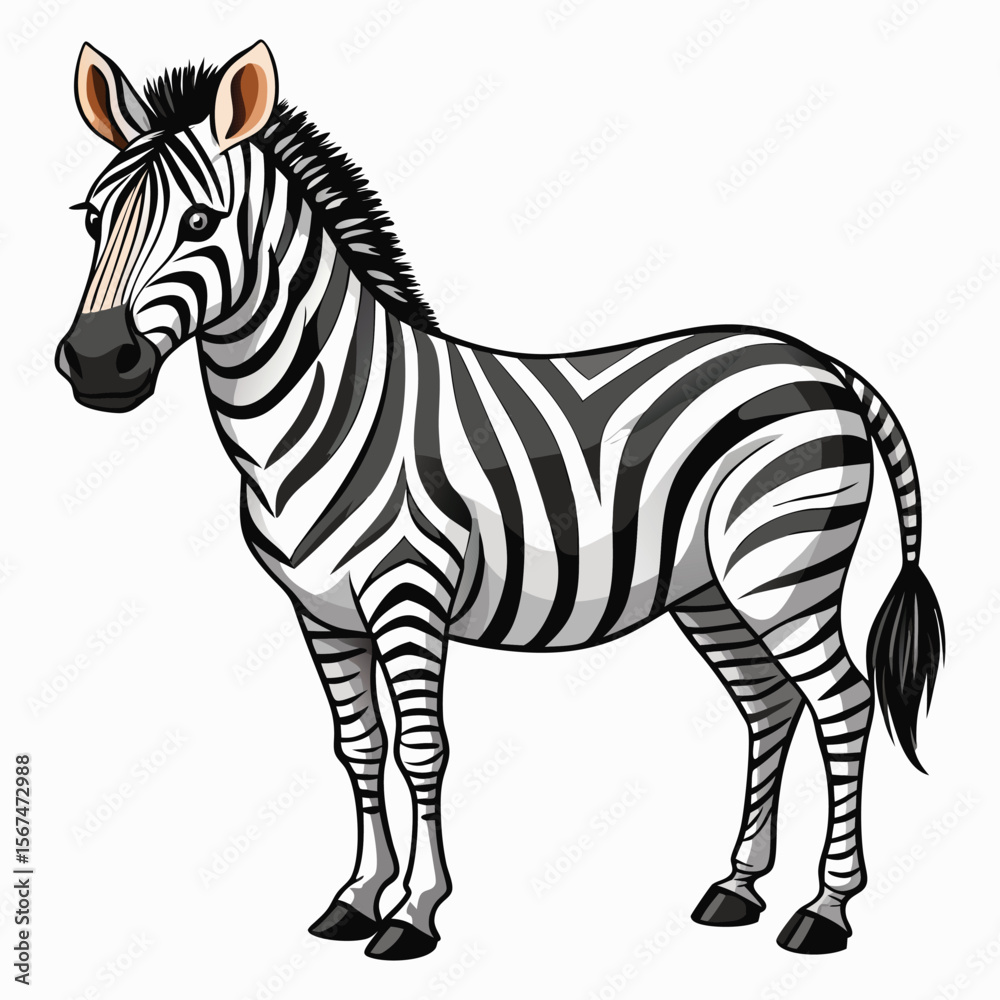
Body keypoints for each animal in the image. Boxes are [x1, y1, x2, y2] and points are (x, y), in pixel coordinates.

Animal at [57, 41, 945, 961]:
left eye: (201, 224)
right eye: (91, 219)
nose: (95, 363)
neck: (321, 406)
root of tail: (820, 362)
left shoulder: (408, 591)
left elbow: (421, 748)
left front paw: (413, 912)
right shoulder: (320, 610)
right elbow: (358, 746)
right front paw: (355, 897)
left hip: (784, 568)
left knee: (842, 704)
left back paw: (825, 909)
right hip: (709, 590)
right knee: (769, 702)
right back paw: (736, 888)